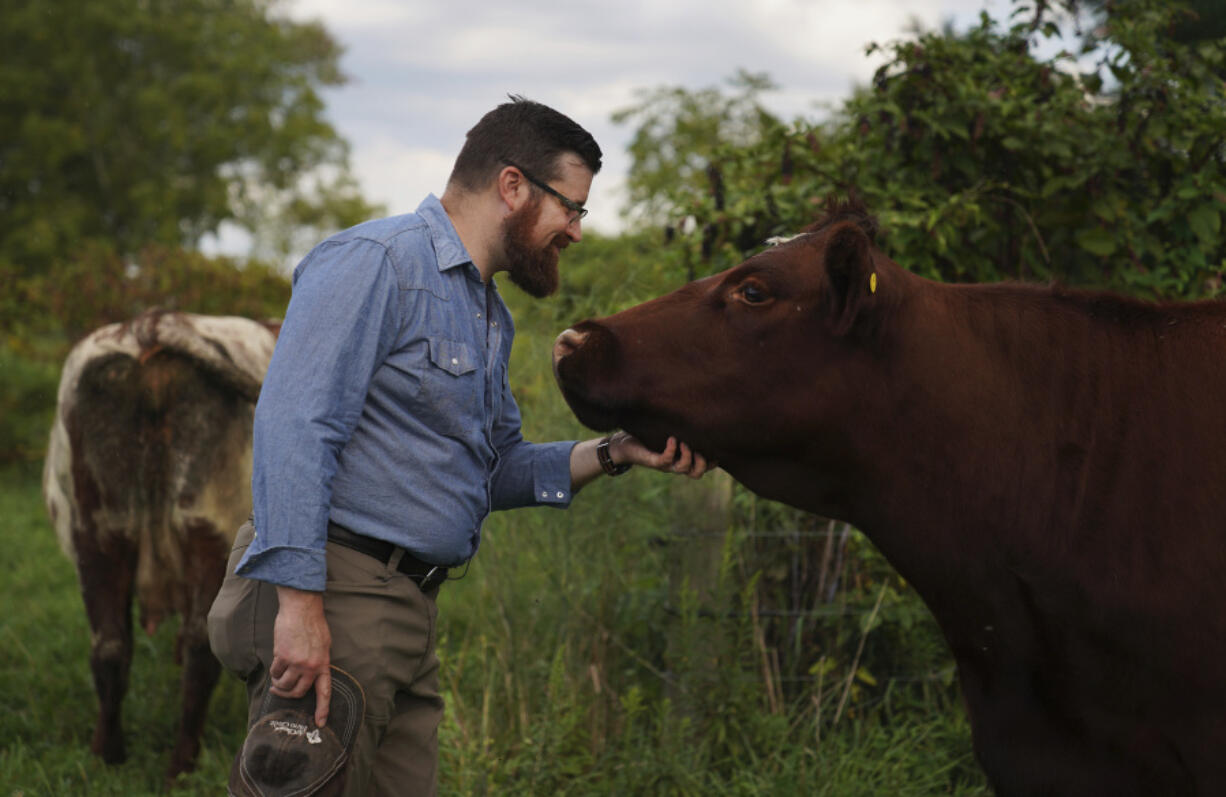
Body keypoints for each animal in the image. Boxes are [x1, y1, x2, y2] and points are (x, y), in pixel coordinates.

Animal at [43, 307, 278, 779]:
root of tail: (149, 327)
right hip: (204, 531)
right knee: (191, 646)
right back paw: (176, 764)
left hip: (99, 532)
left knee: (112, 645)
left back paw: (110, 757)